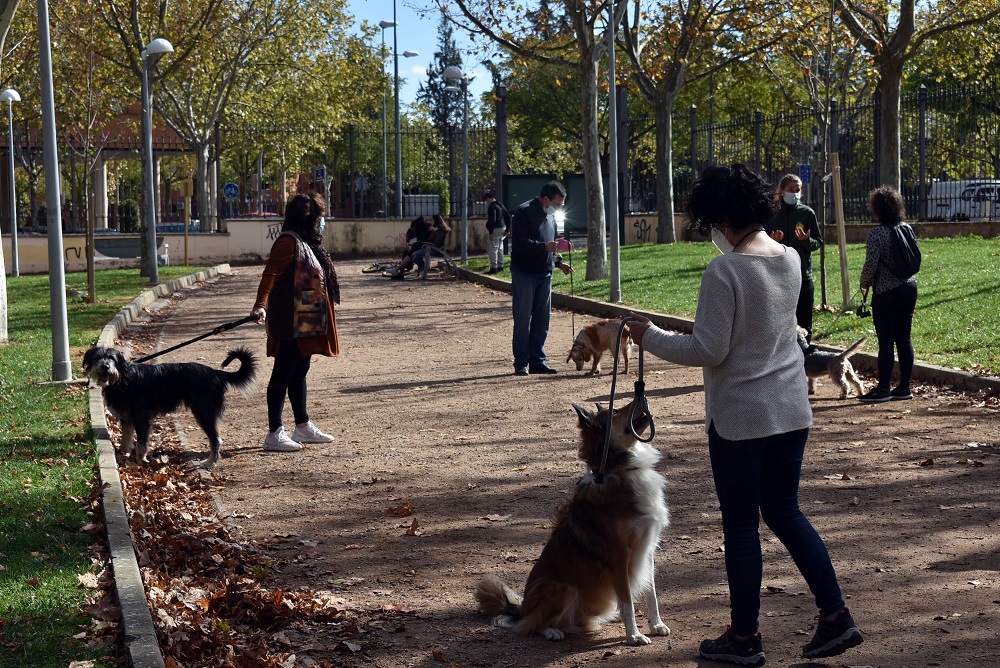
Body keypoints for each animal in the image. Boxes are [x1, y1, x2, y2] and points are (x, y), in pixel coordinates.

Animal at [83, 344, 258, 470]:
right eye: (98, 357)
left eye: (111, 358)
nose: (105, 367)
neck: (122, 378)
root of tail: (215, 373)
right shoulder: (127, 418)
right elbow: (125, 441)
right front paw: (122, 456)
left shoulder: (141, 419)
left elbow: (141, 444)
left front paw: (140, 461)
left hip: (204, 413)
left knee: (215, 440)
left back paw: (210, 463)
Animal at [474, 400, 672, 644]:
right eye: (615, 411)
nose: (642, 398)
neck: (619, 470)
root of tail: (522, 609)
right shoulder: (619, 557)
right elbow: (627, 603)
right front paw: (634, 635)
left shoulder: (647, 549)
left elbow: (651, 593)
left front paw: (656, 624)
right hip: (562, 589)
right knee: (532, 624)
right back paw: (551, 631)